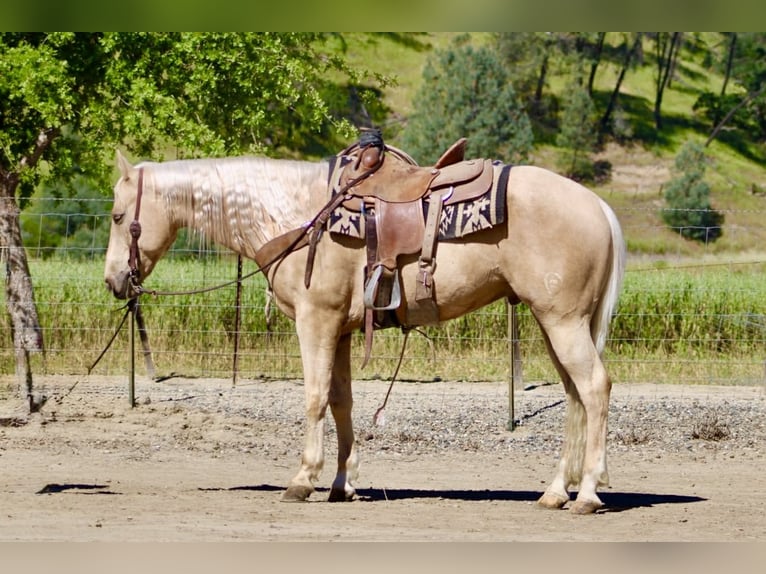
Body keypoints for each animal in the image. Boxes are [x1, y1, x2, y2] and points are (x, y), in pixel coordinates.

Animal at [103, 144, 626, 514]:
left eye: (116, 216)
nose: (113, 280)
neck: (298, 214)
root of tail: (598, 205)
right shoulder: (341, 328)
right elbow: (341, 402)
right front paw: (342, 483)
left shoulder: (316, 321)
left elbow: (314, 397)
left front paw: (302, 480)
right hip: (555, 322)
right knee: (575, 396)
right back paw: (556, 492)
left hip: (562, 321)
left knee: (595, 388)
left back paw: (587, 493)